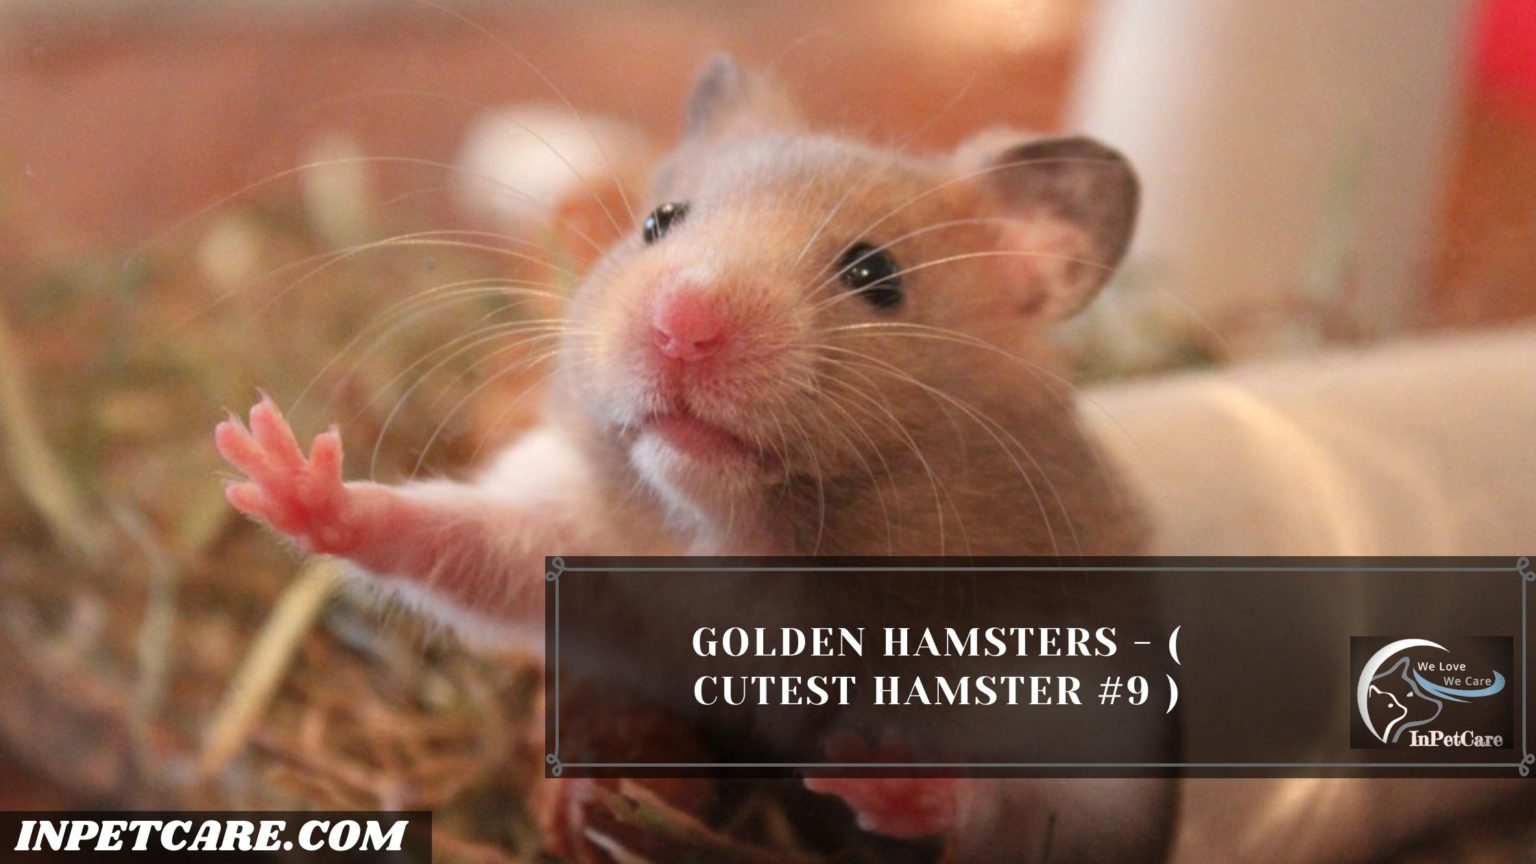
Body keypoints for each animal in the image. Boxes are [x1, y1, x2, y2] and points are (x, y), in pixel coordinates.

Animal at [216, 55, 1170, 863]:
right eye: (658, 223)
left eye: (876, 274)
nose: (683, 323)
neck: (740, 533)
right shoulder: (575, 542)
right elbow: (452, 539)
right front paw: (277, 469)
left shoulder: (1072, 694)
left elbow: (1032, 796)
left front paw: (879, 775)